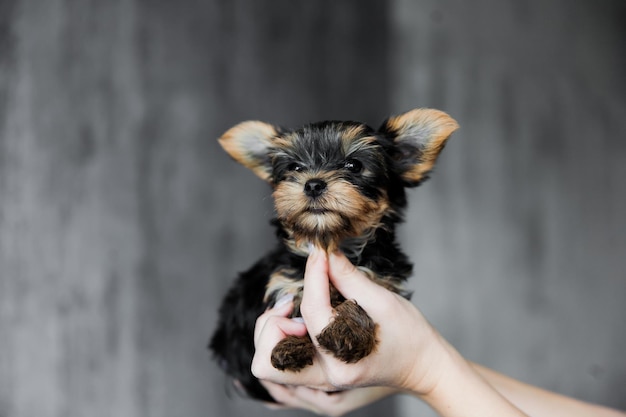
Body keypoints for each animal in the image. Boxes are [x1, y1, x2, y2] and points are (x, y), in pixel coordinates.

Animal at [207, 109, 456, 402]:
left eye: (354, 165)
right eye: (295, 167)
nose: (313, 184)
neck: (335, 242)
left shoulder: (383, 284)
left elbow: (357, 303)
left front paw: (349, 334)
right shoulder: (285, 283)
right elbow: (296, 311)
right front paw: (291, 347)